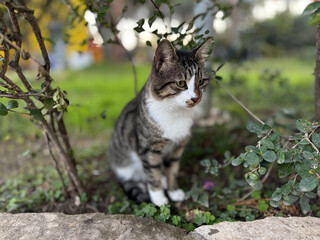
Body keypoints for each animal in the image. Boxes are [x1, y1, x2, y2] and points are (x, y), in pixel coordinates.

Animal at [107, 38, 212, 206]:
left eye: (201, 81)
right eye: (181, 83)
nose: (195, 98)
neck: (175, 112)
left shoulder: (178, 146)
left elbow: (172, 170)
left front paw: (173, 190)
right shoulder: (148, 147)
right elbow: (152, 171)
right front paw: (159, 198)